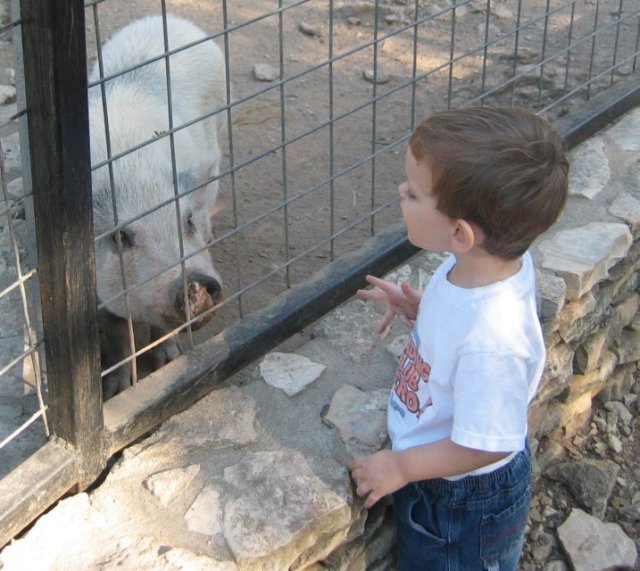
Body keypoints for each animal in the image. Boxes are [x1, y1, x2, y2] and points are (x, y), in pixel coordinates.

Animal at [87, 13, 228, 398]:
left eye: (187, 221)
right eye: (121, 237)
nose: (196, 282)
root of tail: (172, 19)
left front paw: (168, 361)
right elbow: (117, 330)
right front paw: (116, 389)